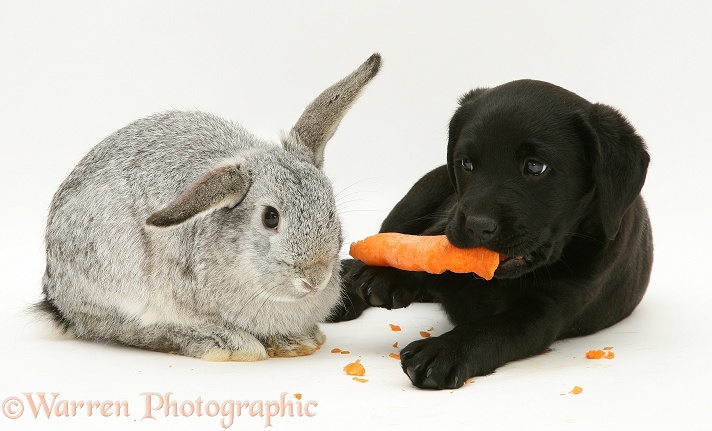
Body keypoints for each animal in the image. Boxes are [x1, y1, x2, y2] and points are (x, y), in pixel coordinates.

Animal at [36, 53, 382, 362]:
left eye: (331, 209)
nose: (315, 279)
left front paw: (297, 341)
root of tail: (56, 295)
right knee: (123, 329)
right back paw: (225, 343)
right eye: (270, 218)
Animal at [328, 79, 652, 390]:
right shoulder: (449, 223)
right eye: (466, 163)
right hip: (417, 199)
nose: (477, 225)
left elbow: (490, 330)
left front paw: (442, 352)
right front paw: (387, 273)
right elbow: (426, 249)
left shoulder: (545, 312)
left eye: (535, 166)